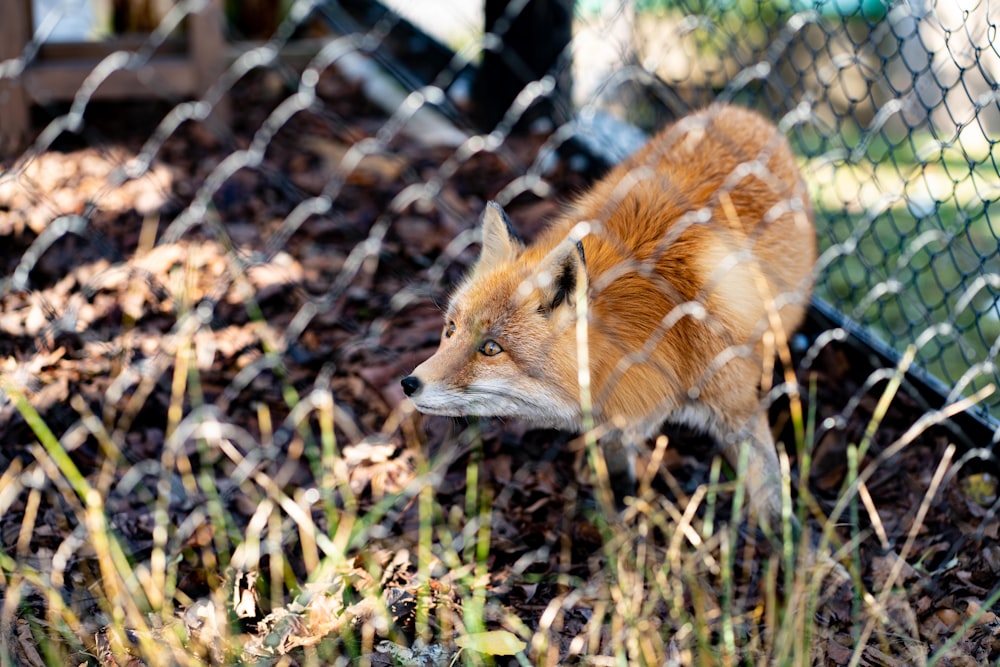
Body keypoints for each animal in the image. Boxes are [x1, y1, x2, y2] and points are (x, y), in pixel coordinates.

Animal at [402, 104, 816, 528]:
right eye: (450, 330)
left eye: (490, 348)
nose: (409, 384)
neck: (663, 330)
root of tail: (740, 112)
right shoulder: (620, 415)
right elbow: (618, 468)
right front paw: (621, 509)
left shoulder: (736, 404)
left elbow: (768, 487)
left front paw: (783, 542)